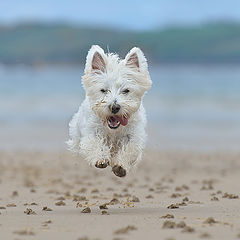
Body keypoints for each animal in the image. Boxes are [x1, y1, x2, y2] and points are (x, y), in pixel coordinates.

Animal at [66, 45, 151, 176]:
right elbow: (94, 143)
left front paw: (120, 166)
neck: (113, 130)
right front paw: (100, 159)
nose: (114, 107)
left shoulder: (133, 135)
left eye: (126, 90)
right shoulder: (91, 131)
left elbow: (130, 148)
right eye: (103, 90)